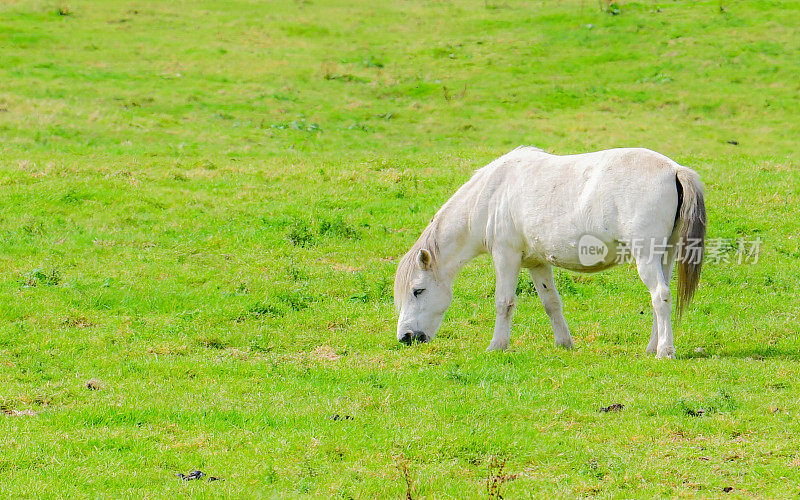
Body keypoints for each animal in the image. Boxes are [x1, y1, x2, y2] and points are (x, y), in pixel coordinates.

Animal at [394, 146, 708, 358]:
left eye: (418, 291)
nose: (406, 337)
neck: (492, 193)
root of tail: (674, 169)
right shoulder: (537, 263)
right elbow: (551, 303)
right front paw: (564, 343)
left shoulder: (505, 256)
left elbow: (504, 302)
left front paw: (497, 346)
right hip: (664, 256)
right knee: (660, 298)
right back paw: (653, 346)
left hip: (646, 257)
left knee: (660, 295)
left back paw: (665, 351)